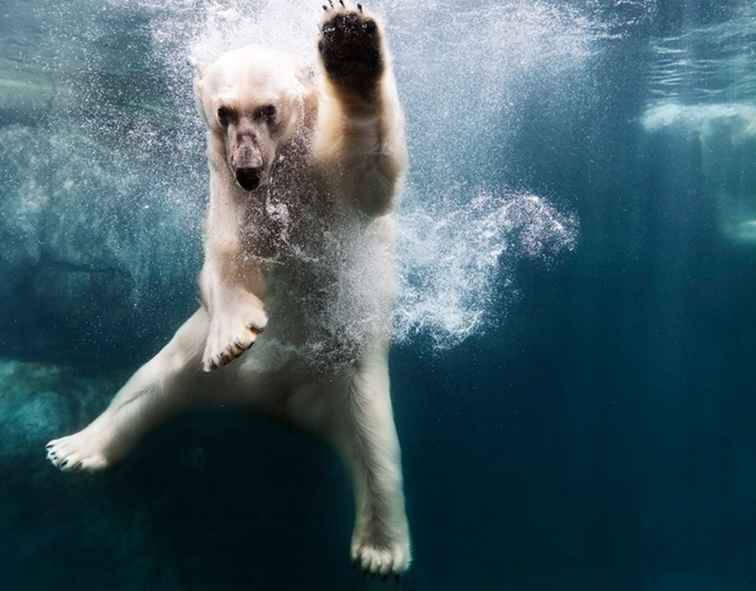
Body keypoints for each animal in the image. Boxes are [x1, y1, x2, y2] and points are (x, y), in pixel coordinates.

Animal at [44, 2, 410, 580]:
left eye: (267, 110)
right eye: (223, 113)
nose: (248, 169)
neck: (281, 171)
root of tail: (276, 400)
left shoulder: (328, 184)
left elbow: (370, 171)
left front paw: (349, 42)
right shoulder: (231, 198)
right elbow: (224, 262)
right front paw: (234, 335)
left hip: (351, 371)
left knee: (376, 447)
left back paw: (379, 549)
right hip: (193, 357)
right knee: (147, 385)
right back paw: (76, 447)